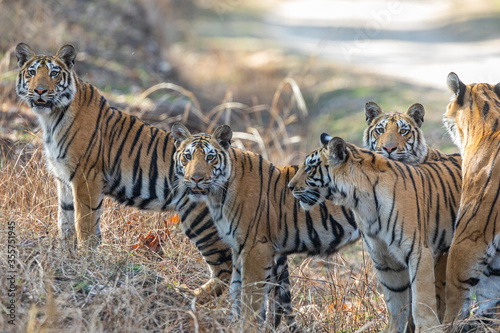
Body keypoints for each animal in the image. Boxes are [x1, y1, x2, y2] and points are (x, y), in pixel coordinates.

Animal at [171, 122, 360, 330]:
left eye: (210, 157)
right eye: (188, 156)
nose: (196, 179)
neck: (217, 196)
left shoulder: (256, 247)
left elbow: (250, 296)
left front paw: (247, 326)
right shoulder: (238, 247)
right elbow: (237, 291)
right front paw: (236, 324)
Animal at [288, 134, 462, 330]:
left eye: (309, 168)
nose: (290, 187)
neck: (361, 203)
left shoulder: (418, 251)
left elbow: (421, 298)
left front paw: (428, 328)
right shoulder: (384, 258)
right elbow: (395, 301)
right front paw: (392, 329)